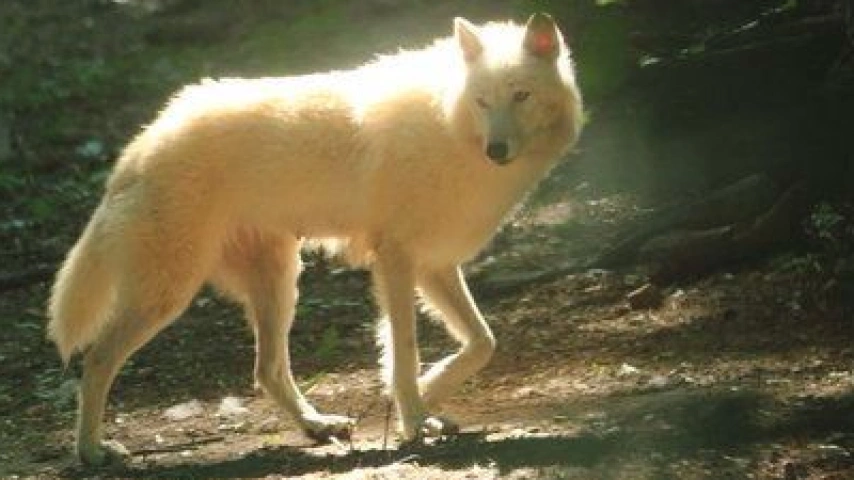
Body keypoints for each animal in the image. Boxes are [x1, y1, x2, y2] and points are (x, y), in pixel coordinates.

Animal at [46, 14, 580, 464]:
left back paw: (318, 426)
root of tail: (140, 146)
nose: (496, 150)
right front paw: (413, 422)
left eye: (521, 95)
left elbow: (482, 342)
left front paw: (426, 397)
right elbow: (406, 351)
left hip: (279, 284)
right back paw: (92, 452)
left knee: (267, 370)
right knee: (97, 359)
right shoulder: (397, 261)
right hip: (170, 294)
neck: (449, 126)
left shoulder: (433, 265)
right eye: (483, 101)